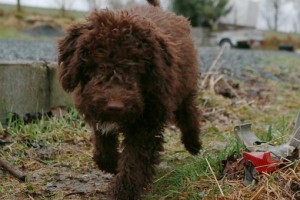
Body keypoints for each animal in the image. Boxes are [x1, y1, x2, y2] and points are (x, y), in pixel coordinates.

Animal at [56, 0, 202, 198]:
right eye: (98, 66)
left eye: (135, 68)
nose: (115, 106)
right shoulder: (98, 113)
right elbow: (103, 146)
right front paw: (111, 164)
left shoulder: (147, 122)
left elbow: (135, 160)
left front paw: (123, 192)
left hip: (185, 87)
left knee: (189, 112)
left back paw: (193, 143)